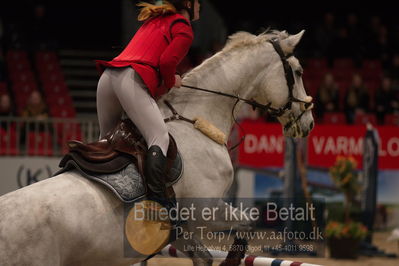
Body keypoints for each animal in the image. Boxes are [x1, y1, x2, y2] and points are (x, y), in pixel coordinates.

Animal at [0, 29, 314, 266]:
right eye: (298, 72)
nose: (309, 122)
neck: (197, 121)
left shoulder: (181, 229)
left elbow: (203, 256)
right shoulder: (205, 209)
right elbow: (248, 224)